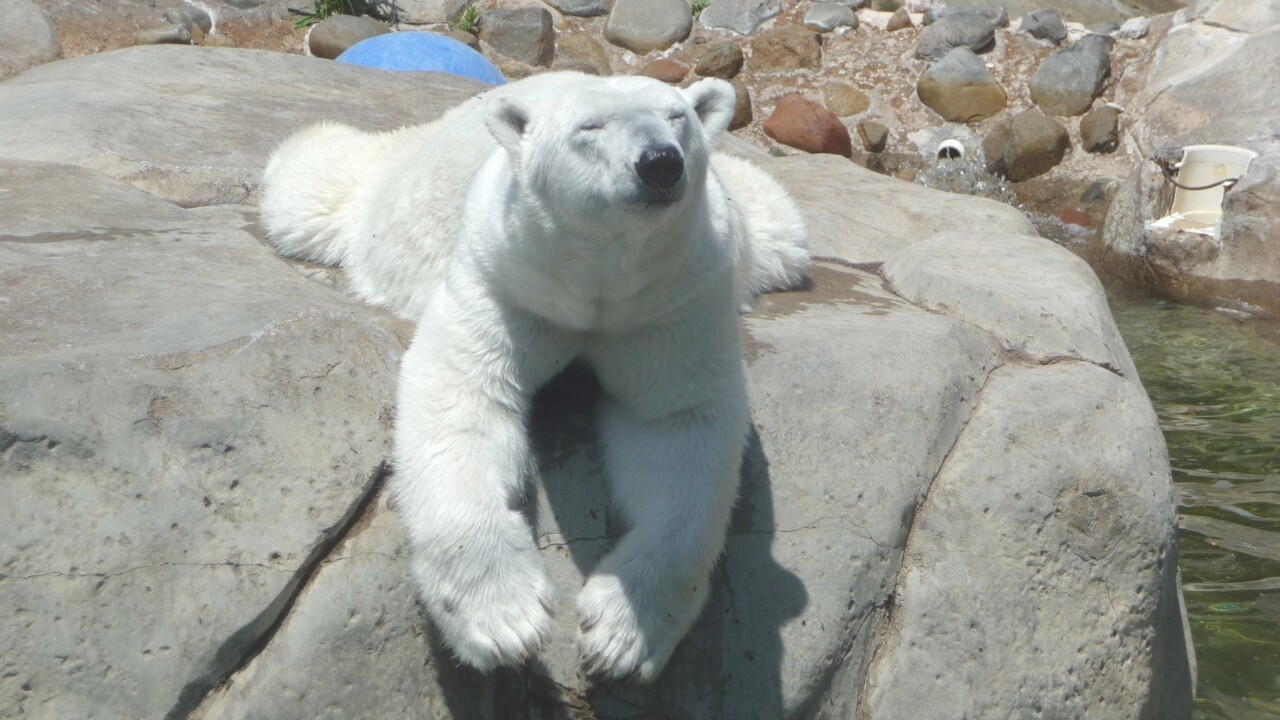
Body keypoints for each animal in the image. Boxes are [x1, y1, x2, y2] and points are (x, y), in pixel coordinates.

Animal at [259, 72, 809, 682]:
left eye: (677, 118)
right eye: (589, 127)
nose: (660, 163)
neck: (597, 282)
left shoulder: (674, 300)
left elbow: (679, 424)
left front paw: (622, 635)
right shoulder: (503, 274)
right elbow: (465, 394)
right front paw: (504, 621)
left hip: (756, 229)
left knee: (778, 220)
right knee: (311, 180)